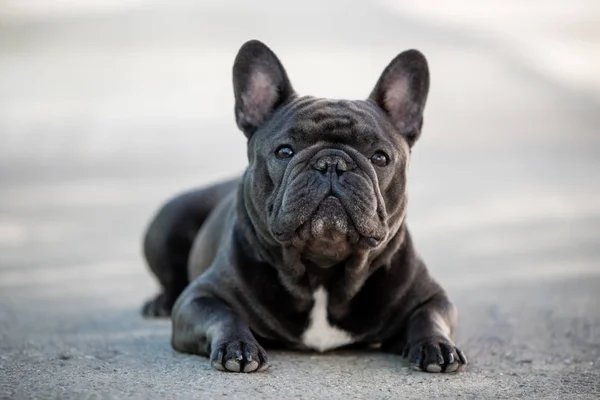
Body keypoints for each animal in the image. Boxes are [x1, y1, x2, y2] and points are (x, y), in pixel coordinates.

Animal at [142, 39, 468, 374]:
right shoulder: (199, 298)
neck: (322, 271)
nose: (332, 162)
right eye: (285, 151)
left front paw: (436, 345)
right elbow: (223, 315)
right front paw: (238, 346)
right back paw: (159, 304)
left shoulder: (432, 297)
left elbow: (430, 316)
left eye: (380, 157)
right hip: (168, 221)